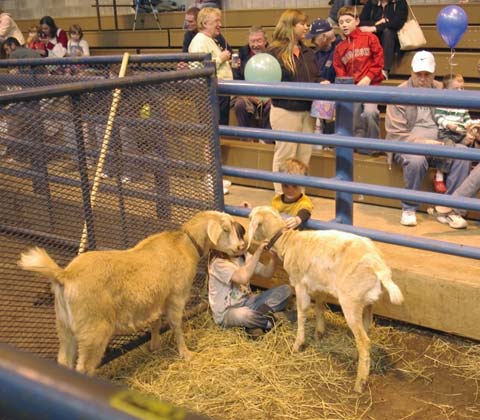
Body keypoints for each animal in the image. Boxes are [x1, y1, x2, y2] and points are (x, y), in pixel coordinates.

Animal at [18, 212, 244, 376]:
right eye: (226, 229)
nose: (241, 246)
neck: (184, 245)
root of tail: (64, 274)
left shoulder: (156, 298)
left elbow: (155, 322)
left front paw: (154, 345)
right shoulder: (176, 297)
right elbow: (176, 326)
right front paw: (186, 353)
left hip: (64, 326)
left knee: (64, 360)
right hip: (93, 331)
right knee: (84, 367)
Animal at [248, 207, 404, 394]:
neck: (289, 241)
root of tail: (378, 265)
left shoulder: (300, 285)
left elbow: (302, 313)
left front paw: (298, 344)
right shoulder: (319, 285)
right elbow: (319, 308)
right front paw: (319, 332)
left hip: (350, 301)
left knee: (364, 341)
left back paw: (360, 382)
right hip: (367, 302)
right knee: (365, 331)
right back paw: (356, 356)